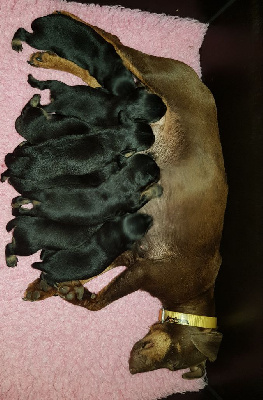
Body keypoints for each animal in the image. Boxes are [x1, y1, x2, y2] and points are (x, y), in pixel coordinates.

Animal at [11, 154, 163, 225]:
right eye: (156, 174)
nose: (160, 169)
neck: (125, 178)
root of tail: (41, 201)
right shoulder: (133, 204)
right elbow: (146, 195)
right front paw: (156, 189)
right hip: (39, 212)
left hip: (40, 193)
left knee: (21, 199)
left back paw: (16, 202)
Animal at [27, 74, 167, 125]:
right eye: (156, 118)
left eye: (159, 98)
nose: (166, 108)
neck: (126, 103)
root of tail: (58, 98)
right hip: (53, 103)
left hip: (57, 84)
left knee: (45, 83)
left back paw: (32, 80)